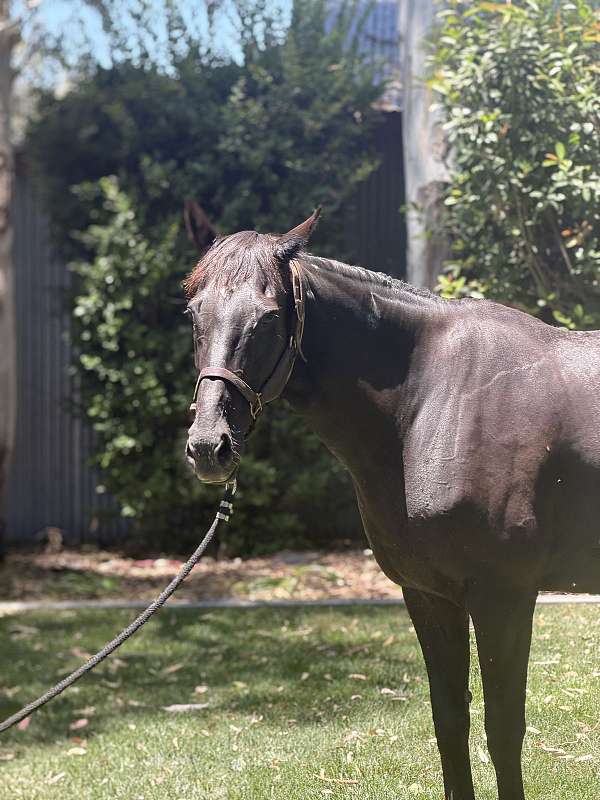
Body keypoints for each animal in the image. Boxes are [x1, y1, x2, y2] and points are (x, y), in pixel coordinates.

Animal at [183, 210, 600, 800]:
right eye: (195, 313)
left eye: (267, 318)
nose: (208, 446)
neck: (432, 401)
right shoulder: (429, 595)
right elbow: (450, 722)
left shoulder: (504, 597)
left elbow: (503, 730)